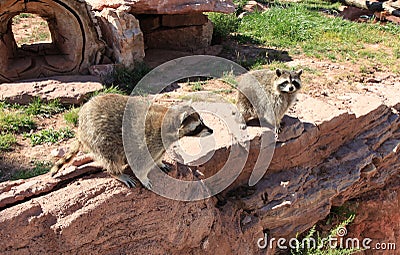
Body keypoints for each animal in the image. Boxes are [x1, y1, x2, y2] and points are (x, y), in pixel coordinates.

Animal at [51, 94, 214, 189]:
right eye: (198, 126)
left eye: (202, 121)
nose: (212, 131)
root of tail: (80, 127)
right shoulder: (149, 141)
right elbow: (140, 163)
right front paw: (143, 178)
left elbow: (157, 156)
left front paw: (159, 162)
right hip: (97, 137)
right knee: (111, 157)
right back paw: (116, 173)